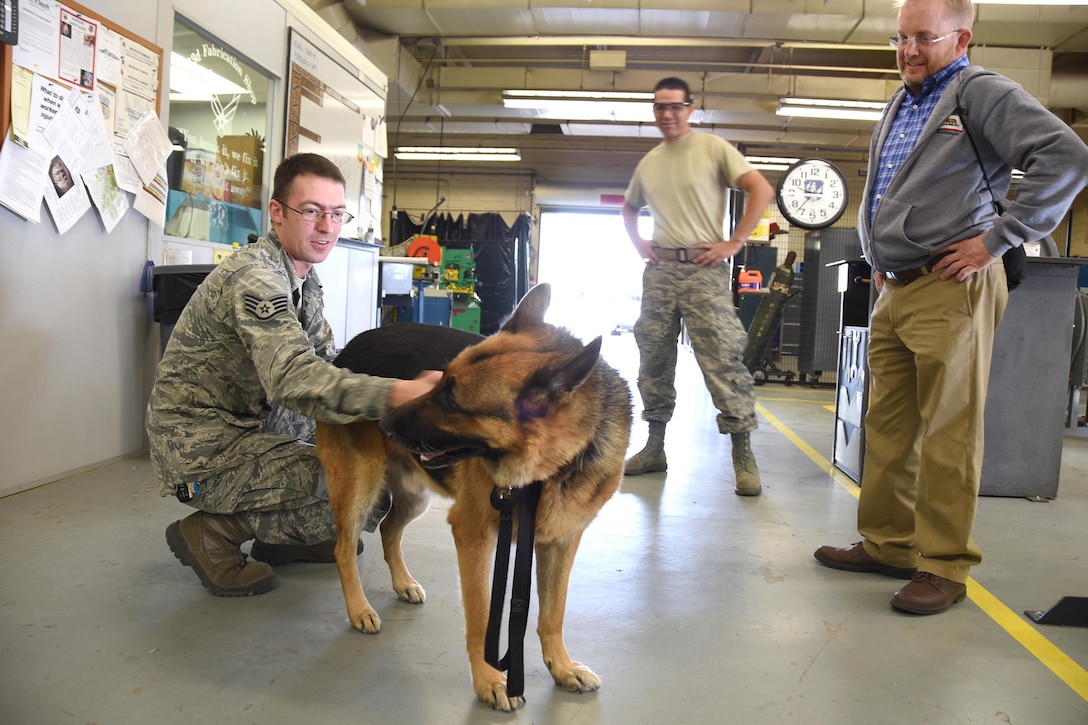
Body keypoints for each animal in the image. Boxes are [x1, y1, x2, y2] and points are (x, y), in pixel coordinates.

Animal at [315, 280, 635, 705]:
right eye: (437, 379)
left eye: (451, 400)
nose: (384, 422)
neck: (547, 468)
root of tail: (346, 352)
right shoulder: (474, 536)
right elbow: (482, 618)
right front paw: (489, 681)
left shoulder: (561, 542)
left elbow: (553, 614)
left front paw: (562, 667)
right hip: (358, 489)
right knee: (344, 548)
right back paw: (359, 609)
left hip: (416, 498)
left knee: (388, 529)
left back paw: (402, 583)